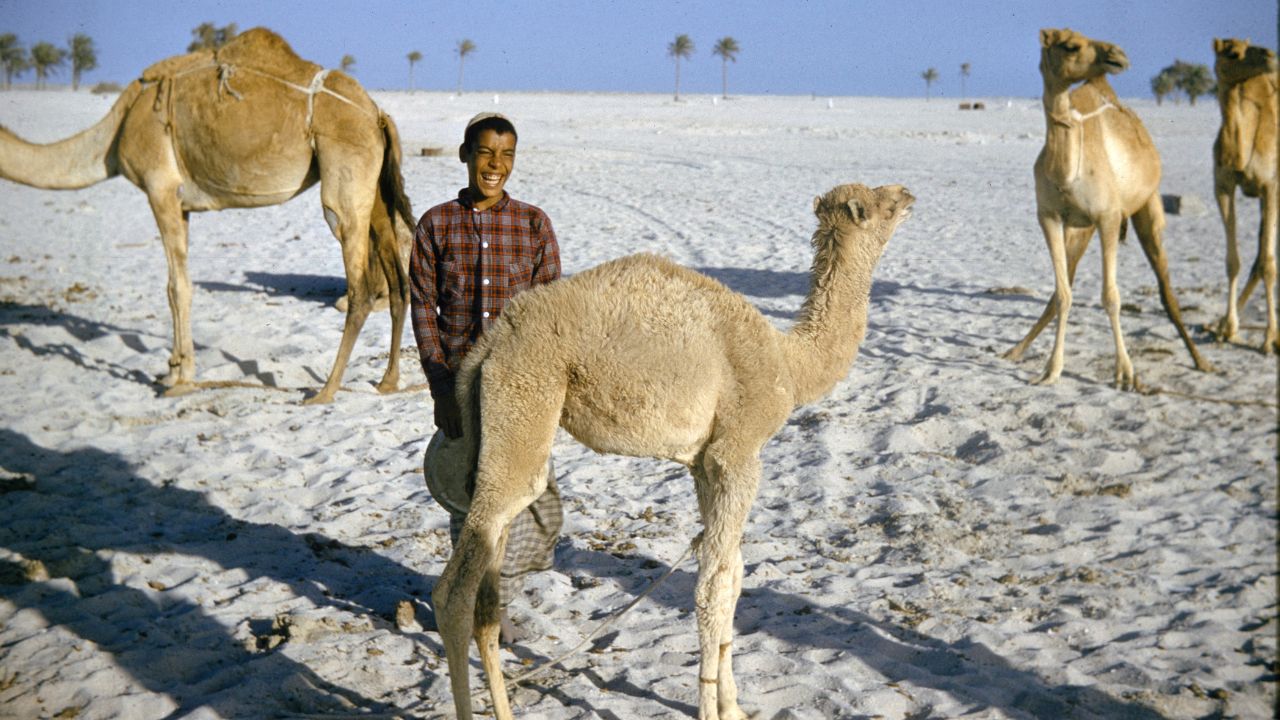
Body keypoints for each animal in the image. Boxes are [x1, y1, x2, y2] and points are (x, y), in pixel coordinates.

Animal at [0, 28, 413, 404]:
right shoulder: (181, 203)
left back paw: (325, 391)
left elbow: (176, 287)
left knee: (358, 286)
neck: (116, 134)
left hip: (343, 177)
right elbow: (177, 283)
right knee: (398, 280)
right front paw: (172, 369)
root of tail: (377, 113)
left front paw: (180, 380)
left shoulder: (160, 188)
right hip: (374, 189)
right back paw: (387, 381)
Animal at [431, 183, 914, 720]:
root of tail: (490, 343)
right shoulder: (738, 452)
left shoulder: (705, 465)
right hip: (525, 391)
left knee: (487, 594)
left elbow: (732, 574)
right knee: (455, 591)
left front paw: (734, 706)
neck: (789, 364)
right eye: (881, 205)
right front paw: (711, 708)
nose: (908, 195)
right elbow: (713, 587)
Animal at [1003, 28, 1213, 388]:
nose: (1118, 55)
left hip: (1147, 207)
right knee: (1063, 288)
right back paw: (1015, 350)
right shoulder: (1049, 217)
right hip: (1080, 228)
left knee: (1166, 291)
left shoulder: (1109, 217)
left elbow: (1111, 296)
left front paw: (1125, 373)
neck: (1065, 169)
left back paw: (1201, 360)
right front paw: (1050, 370)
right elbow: (1063, 294)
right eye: (1071, 45)